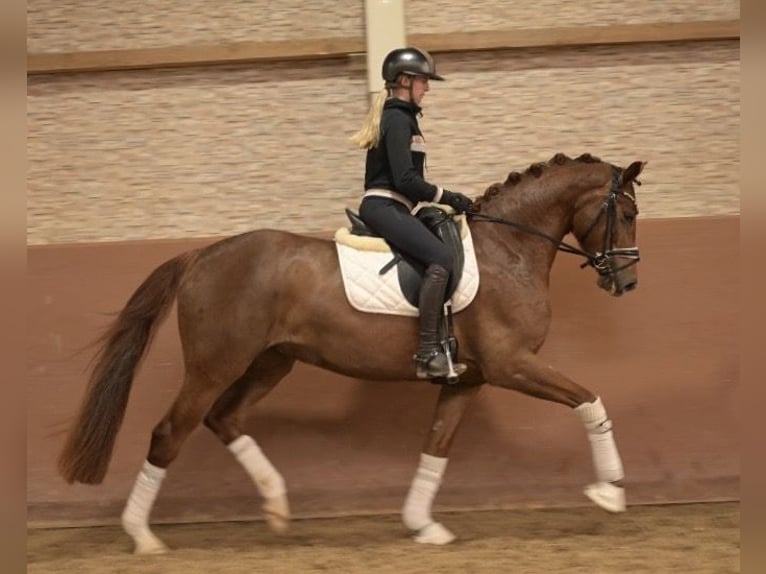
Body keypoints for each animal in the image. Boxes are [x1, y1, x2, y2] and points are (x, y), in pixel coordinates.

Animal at [58, 152, 644, 553]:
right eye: (627, 212)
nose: (627, 282)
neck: (509, 250)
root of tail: (202, 254)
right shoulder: (511, 365)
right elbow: (589, 400)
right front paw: (610, 492)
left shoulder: (470, 378)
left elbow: (436, 446)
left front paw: (423, 525)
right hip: (214, 365)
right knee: (169, 433)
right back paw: (144, 537)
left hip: (272, 360)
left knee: (224, 419)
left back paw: (277, 505)